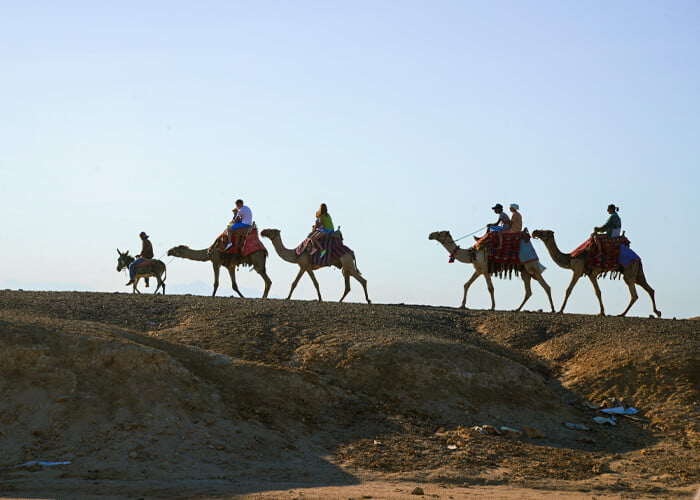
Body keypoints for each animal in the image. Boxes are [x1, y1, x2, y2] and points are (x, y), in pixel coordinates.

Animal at [424, 231, 556, 312]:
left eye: (440, 232)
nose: (430, 234)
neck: (472, 253)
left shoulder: (485, 269)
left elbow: (490, 288)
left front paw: (492, 307)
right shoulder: (479, 270)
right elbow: (466, 284)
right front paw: (462, 305)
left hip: (531, 267)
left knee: (546, 286)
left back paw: (553, 309)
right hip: (525, 272)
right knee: (529, 291)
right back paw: (516, 309)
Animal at [532, 229, 660, 316]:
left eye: (545, 232)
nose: (535, 232)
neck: (570, 258)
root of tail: (638, 258)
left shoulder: (578, 270)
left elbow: (569, 290)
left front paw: (560, 310)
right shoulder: (590, 274)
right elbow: (597, 292)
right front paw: (602, 312)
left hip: (630, 270)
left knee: (634, 294)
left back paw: (622, 314)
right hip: (637, 272)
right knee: (649, 289)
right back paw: (657, 312)